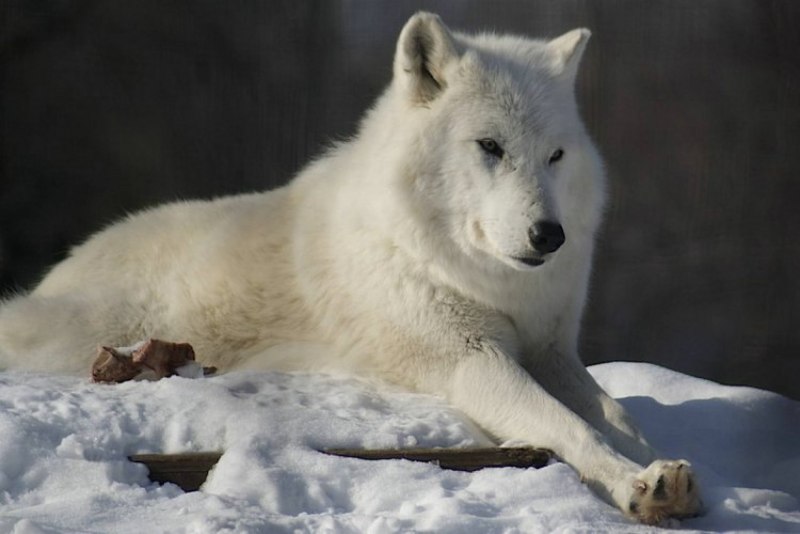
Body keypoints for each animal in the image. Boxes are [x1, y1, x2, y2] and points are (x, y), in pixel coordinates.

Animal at [0, 13, 701, 523]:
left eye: (556, 155)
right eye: (490, 146)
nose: (548, 235)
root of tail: (55, 277)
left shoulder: (551, 350)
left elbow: (620, 418)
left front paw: (674, 474)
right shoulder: (468, 357)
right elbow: (570, 427)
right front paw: (636, 485)